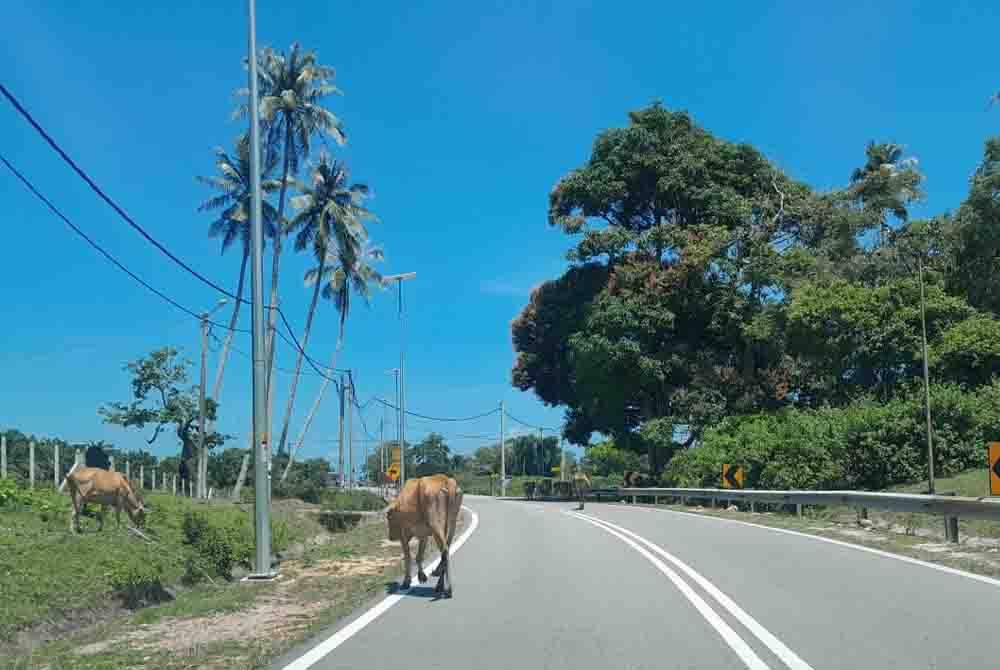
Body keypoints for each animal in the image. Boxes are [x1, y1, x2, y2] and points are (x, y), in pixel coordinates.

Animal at [386, 472, 464, 600]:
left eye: (388, 517)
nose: (390, 537)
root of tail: (446, 480)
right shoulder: (424, 535)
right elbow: (419, 556)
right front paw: (421, 576)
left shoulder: (404, 534)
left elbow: (408, 557)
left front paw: (407, 581)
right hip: (451, 524)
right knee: (445, 551)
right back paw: (440, 585)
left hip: (436, 525)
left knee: (445, 550)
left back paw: (447, 589)